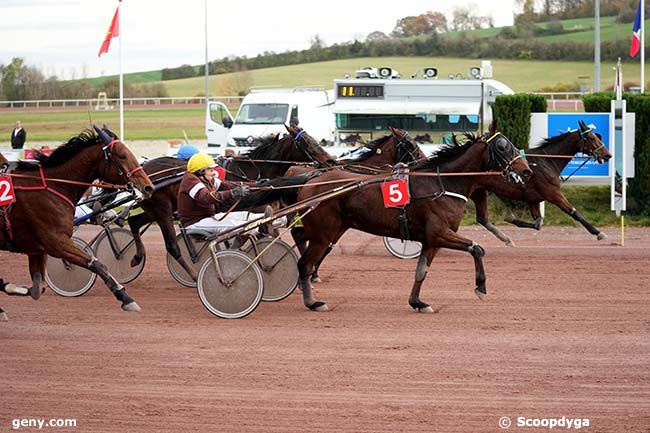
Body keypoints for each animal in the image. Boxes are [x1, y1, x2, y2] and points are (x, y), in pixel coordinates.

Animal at [0, 126, 153, 318]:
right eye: (122, 155)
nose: (148, 187)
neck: (53, 187)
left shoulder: (37, 248)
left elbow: (37, 289)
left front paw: (10, 288)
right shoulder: (56, 242)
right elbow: (97, 263)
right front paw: (125, 298)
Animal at [292, 123, 528, 312]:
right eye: (503, 146)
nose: (526, 170)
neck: (442, 184)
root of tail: (310, 181)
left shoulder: (431, 241)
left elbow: (421, 271)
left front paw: (417, 302)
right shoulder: (439, 233)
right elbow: (477, 248)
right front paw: (481, 287)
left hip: (331, 228)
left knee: (300, 235)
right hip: (324, 232)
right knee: (305, 263)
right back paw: (312, 301)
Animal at [468, 120, 612, 245]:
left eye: (597, 136)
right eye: (592, 138)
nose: (608, 155)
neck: (546, 161)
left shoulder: (533, 199)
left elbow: (538, 224)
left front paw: (511, 218)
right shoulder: (553, 194)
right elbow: (574, 213)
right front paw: (599, 232)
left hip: (478, 191)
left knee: (481, 218)